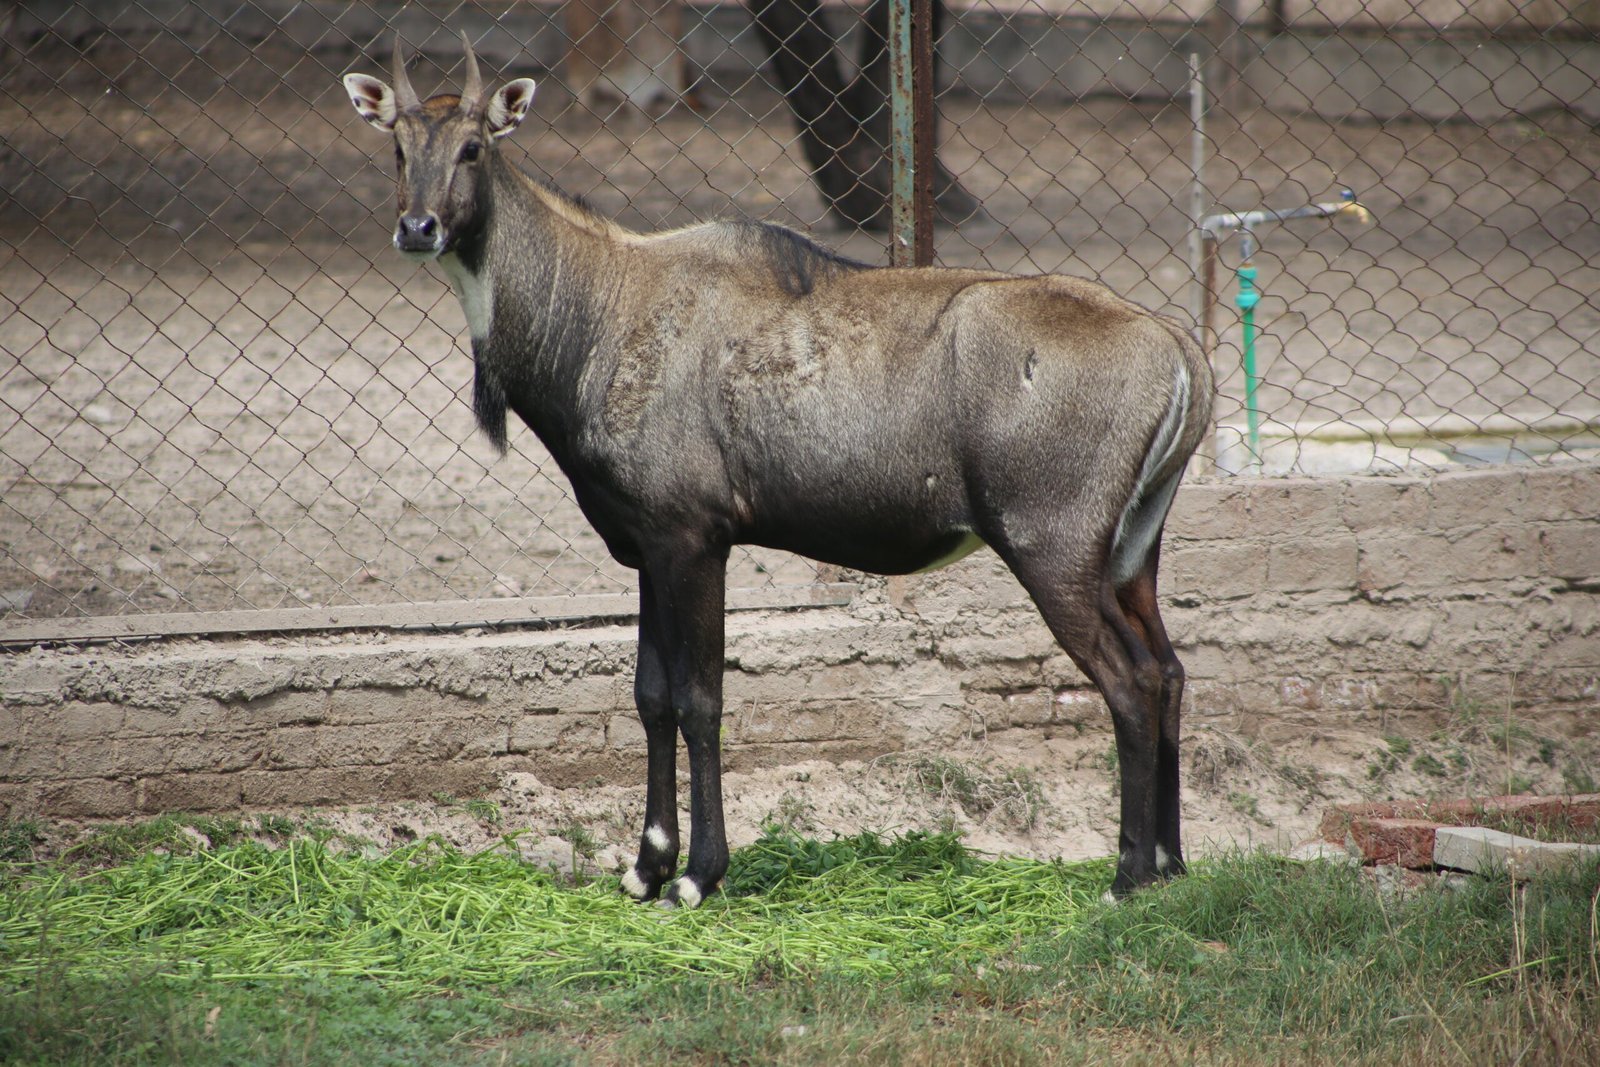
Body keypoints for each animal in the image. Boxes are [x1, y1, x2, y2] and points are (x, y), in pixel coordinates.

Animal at [340, 33, 1209, 908]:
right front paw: (646, 864)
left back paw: (1126, 876)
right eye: (397, 147)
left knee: (1129, 680)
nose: (418, 226)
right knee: (1169, 670)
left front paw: (697, 872)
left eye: (474, 147)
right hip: (1133, 553)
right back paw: (1171, 865)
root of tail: (1182, 354)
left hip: (1051, 549)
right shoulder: (647, 546)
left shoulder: (695, 538)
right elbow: (649, 695)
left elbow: (700, 698)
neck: (595, 317)